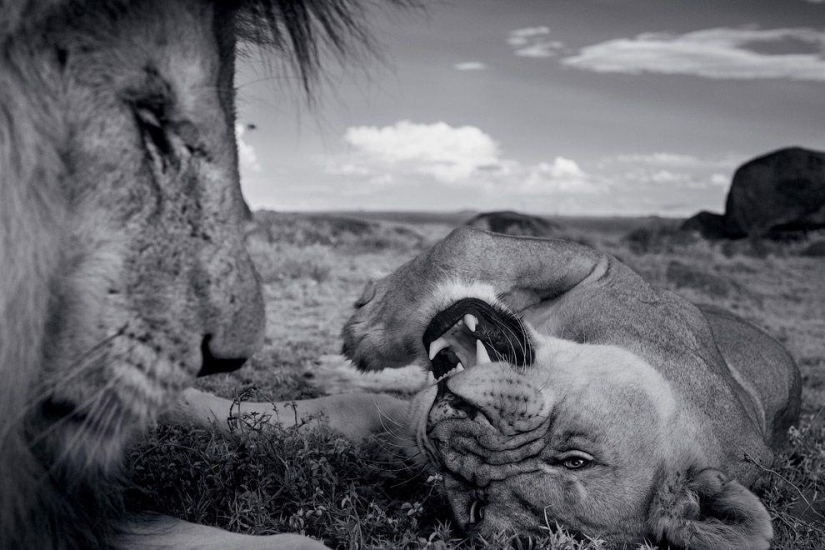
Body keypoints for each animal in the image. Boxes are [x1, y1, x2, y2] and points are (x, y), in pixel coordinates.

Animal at [179, 226, 800, 548]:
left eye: (473, 505)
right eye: (576, 458)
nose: (454, 426)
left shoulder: (401, 423)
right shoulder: (605, 267)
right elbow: (468, 243)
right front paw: (370, 327)